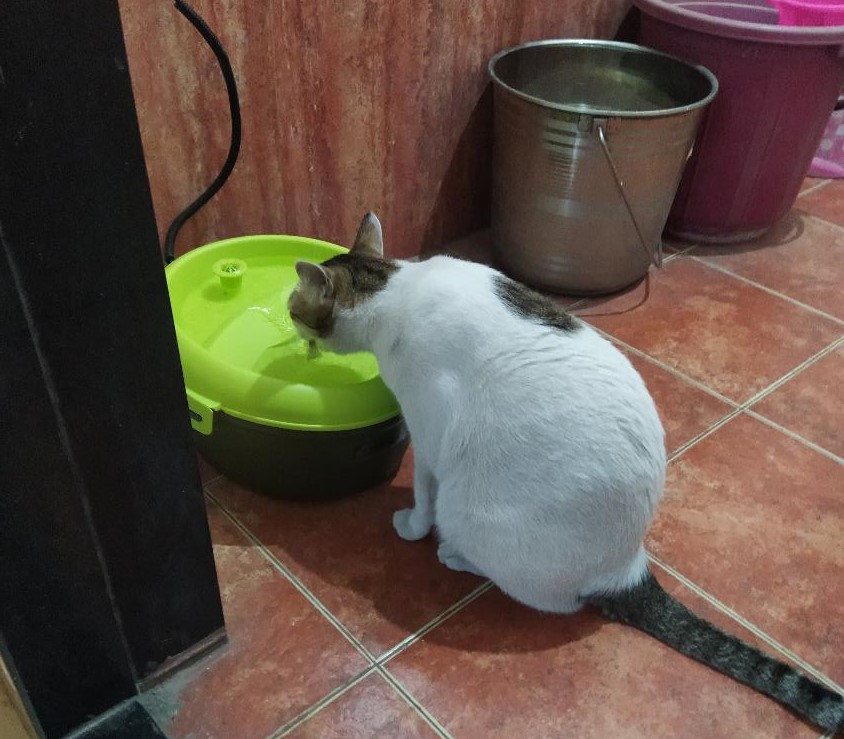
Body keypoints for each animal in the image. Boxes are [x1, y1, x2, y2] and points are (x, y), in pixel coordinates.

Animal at [288, 211, 844, 732]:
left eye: (295, 306)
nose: (292, 328)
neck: (392, 289)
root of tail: (627, 564)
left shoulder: (428, 436)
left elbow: (423, 495)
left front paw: (410, 527)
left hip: (469, 509)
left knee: (546, 596)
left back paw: (456, 555)